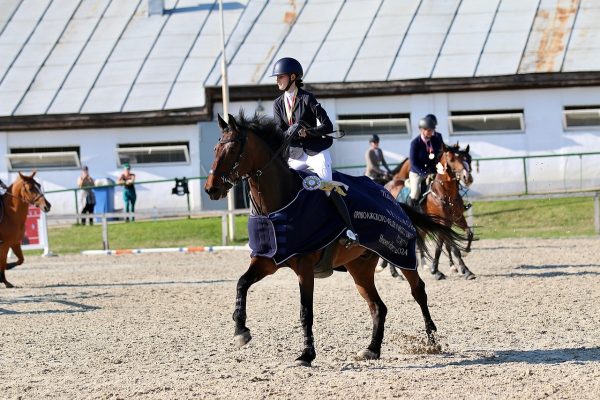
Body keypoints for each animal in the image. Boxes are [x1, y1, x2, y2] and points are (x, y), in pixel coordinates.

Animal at [204, 111, 466, 366]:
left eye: (233, 149)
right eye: (215, 148)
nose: (211, 189)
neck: (276, 206)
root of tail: (393, 200)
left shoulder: (305, 266)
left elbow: (305, 312)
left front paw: (306, 354)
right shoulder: (267, 260)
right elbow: (241, 283)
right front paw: (241, 330)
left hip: (400, 254)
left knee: (418, 291)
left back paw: (432, 340)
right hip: (359, 267)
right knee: (378, 307)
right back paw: (371, 349)